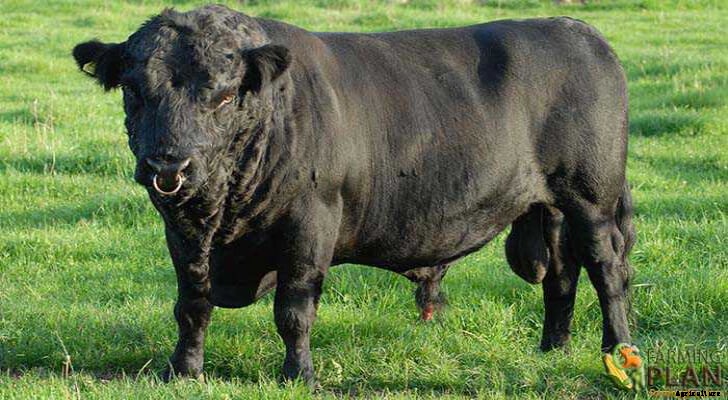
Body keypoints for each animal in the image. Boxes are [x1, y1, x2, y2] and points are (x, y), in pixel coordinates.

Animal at [72, 5, 636, 384]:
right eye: (133, 89)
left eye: (227, 95)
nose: (168, 164)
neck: (222, 215)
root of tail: (576, 29)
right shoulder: (182, 234)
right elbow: (191, 304)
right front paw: (182, 370)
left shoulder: (309, 227)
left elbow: (294, 311)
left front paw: (298, 375)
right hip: (550, 207)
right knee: (561, 276)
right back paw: (552, 349)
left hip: (592, 200)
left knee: (606, 271)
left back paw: (618, 350)